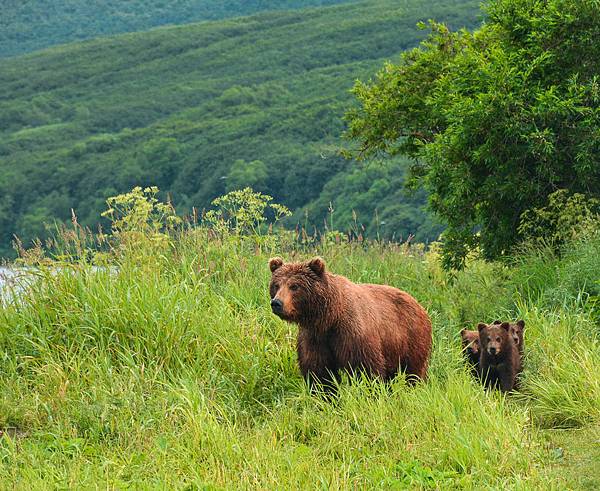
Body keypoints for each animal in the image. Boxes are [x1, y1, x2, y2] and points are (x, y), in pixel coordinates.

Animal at [268, 258, 432, 392]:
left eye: (295, 286)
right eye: (276, 285)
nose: (277, 303)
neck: (329, 318)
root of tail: (419, 304)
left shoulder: (352, 334)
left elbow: (364, 369)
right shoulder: (314, 337)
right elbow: (319, 373)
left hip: (411, 337)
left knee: (414, 371)